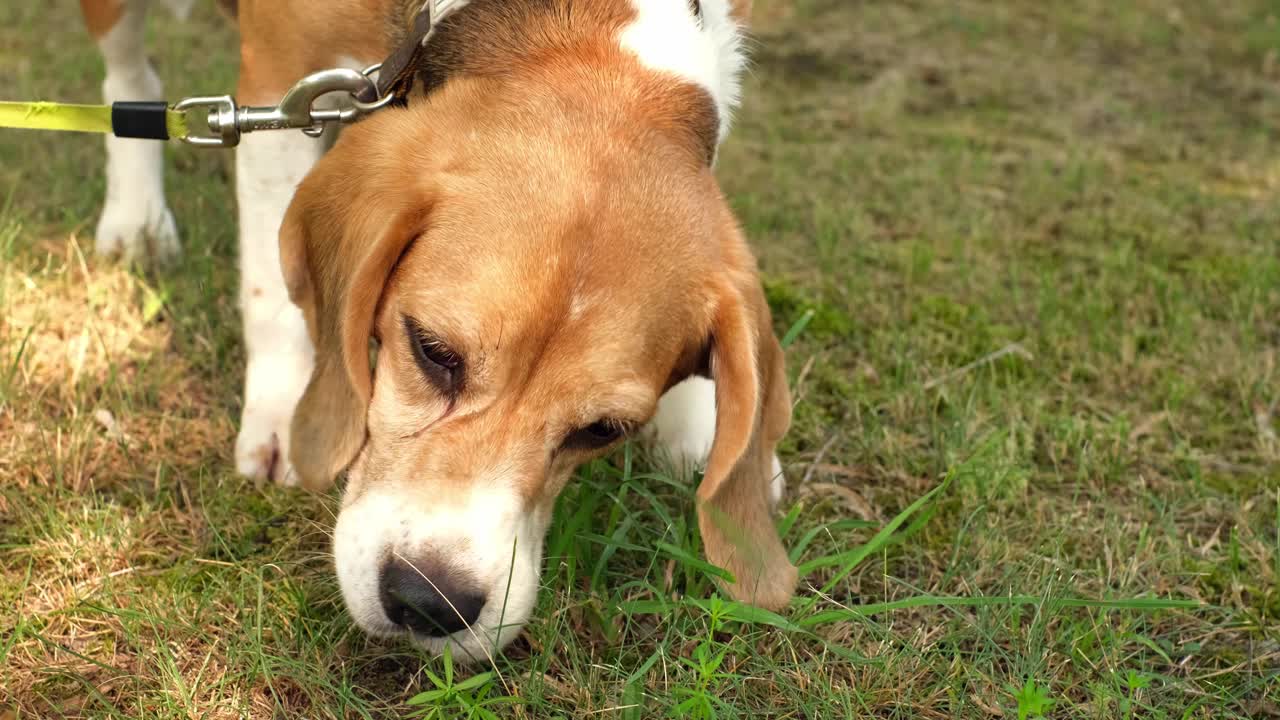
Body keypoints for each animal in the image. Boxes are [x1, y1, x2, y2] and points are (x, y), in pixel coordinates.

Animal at [80, 0, 793, 655]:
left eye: (602, 431)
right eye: (432, 351)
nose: (428, 602)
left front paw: (703, 427)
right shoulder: (277, 79)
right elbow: (270, 290)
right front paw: (283, 412)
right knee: (129, 75)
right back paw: (137, 219)